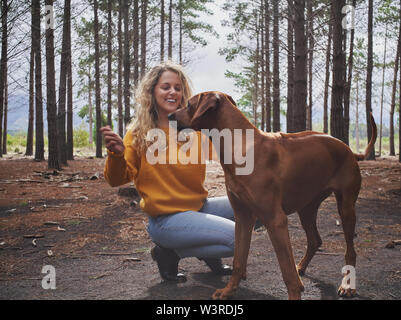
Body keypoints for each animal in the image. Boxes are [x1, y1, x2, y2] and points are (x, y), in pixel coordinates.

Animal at [167, 90, 376, 300]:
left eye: (189, 104)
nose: (169, 116)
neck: (240, 146)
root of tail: (349, 150)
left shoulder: (275, 221)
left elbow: (287, 272)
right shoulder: (243, 217)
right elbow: (238, 260)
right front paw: (228, 290)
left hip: (346, 206)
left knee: (350, 250)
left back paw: (348, 286)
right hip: (306, 208)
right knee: (315, 240)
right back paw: (301, 267)